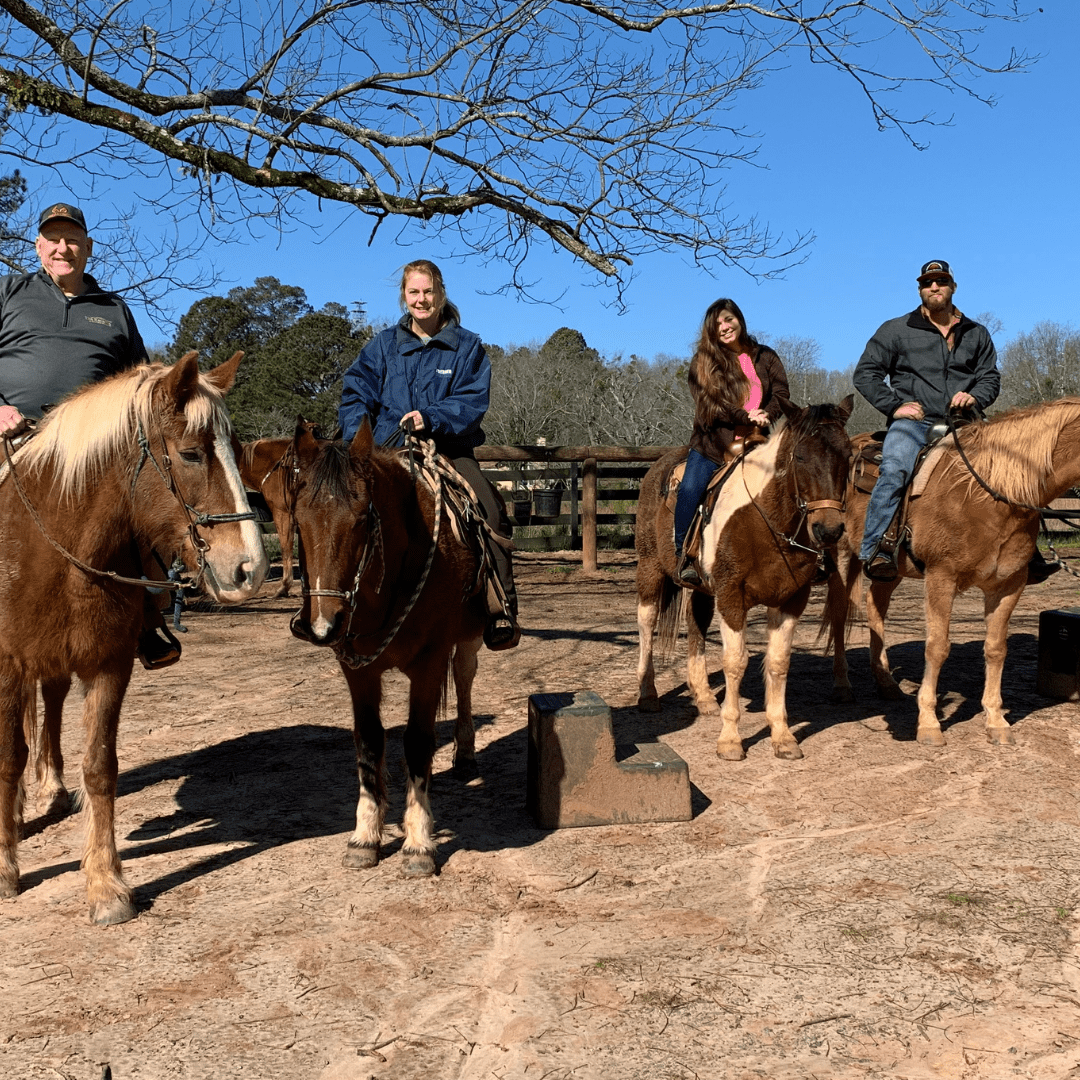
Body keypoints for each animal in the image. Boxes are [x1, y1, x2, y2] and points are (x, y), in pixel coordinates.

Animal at [0, 352, 267, 920]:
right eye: (190, 453)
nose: (249, 570)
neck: (52, 546)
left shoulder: (108, 664)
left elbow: (100, 767)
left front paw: (106, 886)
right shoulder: (8, 665)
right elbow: (8, 759)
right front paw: (5, 868)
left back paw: (51, 790)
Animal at [289, 419, 488, 876]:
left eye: (363, 518)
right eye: (299, 519)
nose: (324, 624)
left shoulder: (429, 664)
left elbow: (417, 741)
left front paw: (418, 844)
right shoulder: (357, 671)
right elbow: (368, 742)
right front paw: (365, 836)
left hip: (468, 638)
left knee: (464, 679)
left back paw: (466, 753)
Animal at [630, 397, 851, 760]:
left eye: (847, 455)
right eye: (801, 456)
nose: (828, 530)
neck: (765, 519)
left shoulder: (791, 599)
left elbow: (778, 662)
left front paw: (783, 737)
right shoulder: (732, 597)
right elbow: (735, 662)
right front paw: (730, 740)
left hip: (702, 587)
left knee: (696, 625)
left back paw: (704, 696)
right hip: (650, 568)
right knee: (647, 624)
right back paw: (647, 694)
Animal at [820, 401, 1080, 747]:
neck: (987, 495)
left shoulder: (1009, 585)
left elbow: (996, 649)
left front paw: (996, 721)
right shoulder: (941, 578)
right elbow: (937, 647)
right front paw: (929, 724)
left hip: (890, 570)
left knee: (876, 607)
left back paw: (886, 682)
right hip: (841, 555)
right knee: (839, 616)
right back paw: (841, 686)